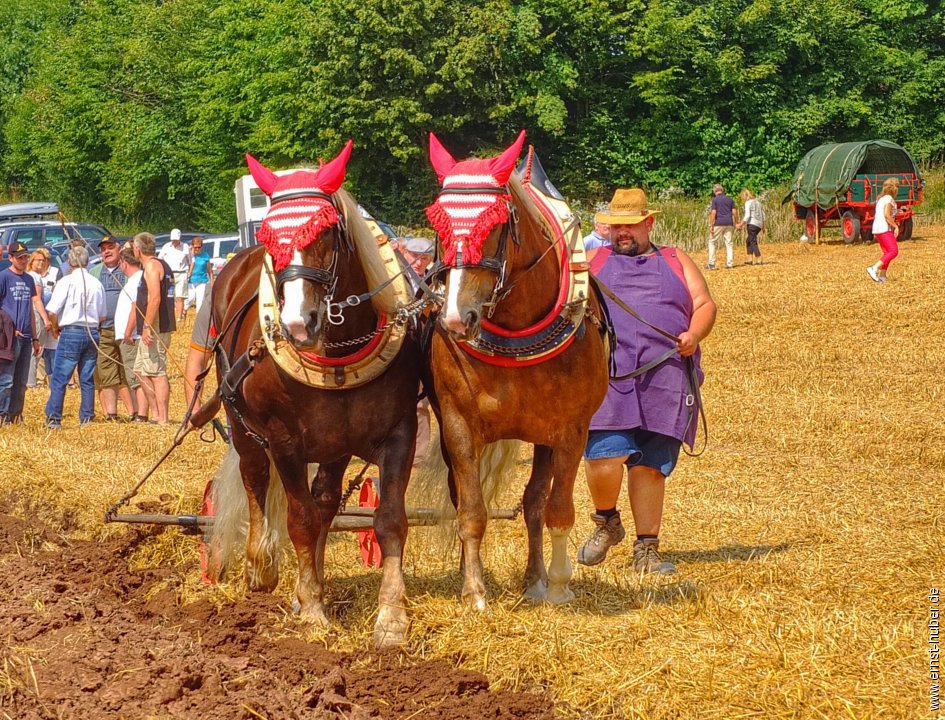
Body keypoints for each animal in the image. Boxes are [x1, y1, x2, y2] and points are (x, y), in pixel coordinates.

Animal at [212, 142, 422, 648]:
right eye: (268, 234)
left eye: (325, 230)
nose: (297, 324)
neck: (339, 353)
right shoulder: (284, 439)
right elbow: (300, 520)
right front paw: (311, 610)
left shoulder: (400, 432)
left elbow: (389, 519)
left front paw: (391, 616)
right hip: (240, 421)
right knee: (255, 480)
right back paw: (261, 567)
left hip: (335, 444)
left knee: (325, 499)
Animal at [424, 131, 608, 608]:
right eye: (437, 225)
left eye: (494, 224)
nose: (457, 319)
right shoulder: (457, 426)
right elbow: (471, 510)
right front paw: (473, 590)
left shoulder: (571, 431)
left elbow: (557, 509)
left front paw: (558, 585)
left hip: (544, 438)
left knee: (536, 503)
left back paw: (537, 578)